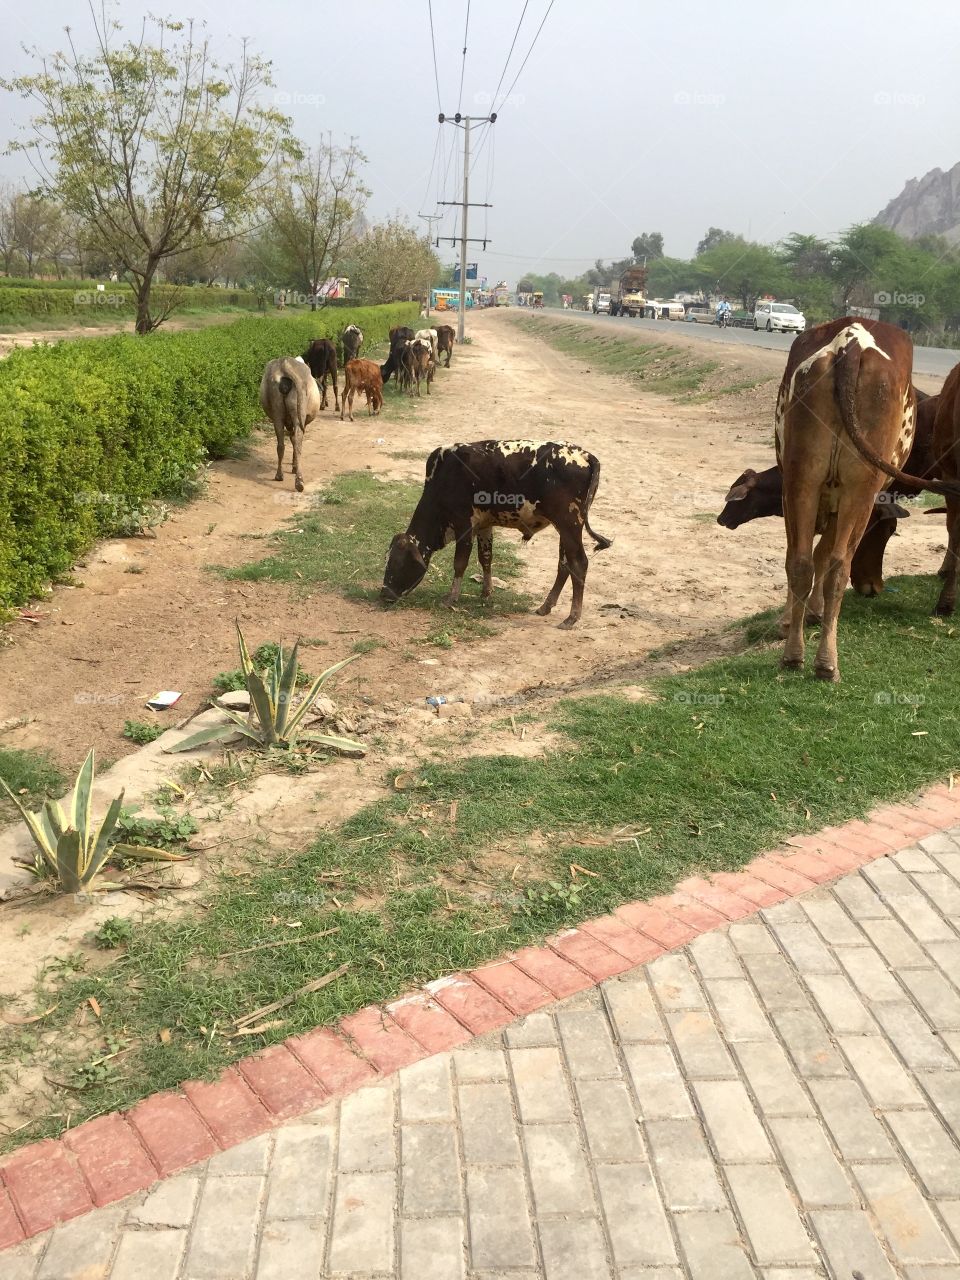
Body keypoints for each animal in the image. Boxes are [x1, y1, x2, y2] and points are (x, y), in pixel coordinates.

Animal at [259, 355, 320, 494]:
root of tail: (285, 365)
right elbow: (294, 438)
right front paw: (294, 466)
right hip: (298, 409)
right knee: (297, 441)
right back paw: (299, 480)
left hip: (277, 411)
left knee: (281, 444)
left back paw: (280, 475)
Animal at [381, 437, 611, 627]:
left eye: (397, 563)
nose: (384, 595)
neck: (444, 476)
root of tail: (584, 455)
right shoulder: (484, 525)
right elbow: (485, 558)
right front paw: (486, 592)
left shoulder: (464, 525)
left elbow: (460, 563)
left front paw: (451, 598)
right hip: (564, 528)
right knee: (564, 565)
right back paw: (546, 606)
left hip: (570, 524)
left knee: (579, 564)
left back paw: (572, 617)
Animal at [778, 317, 957, 680]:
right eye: (888, 532)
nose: (874, 587)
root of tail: (851, 343)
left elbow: (812, 555)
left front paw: (803, 616)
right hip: (857, 488)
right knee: (835, 564)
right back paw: (826, 662)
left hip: (803, 477)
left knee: (805, 561)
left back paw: (797, 655)